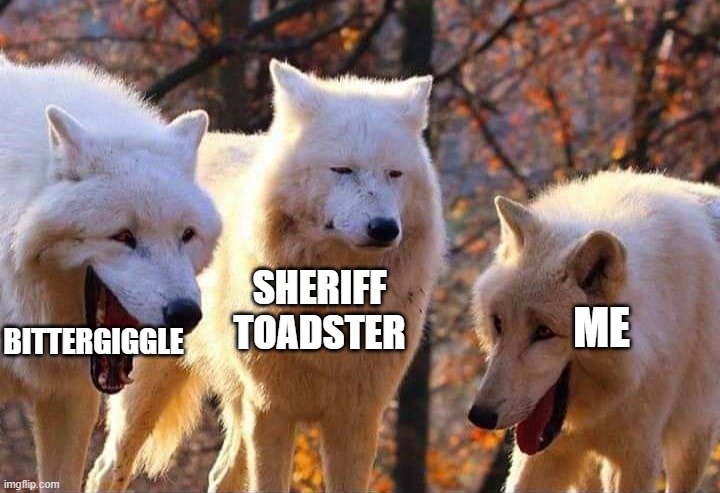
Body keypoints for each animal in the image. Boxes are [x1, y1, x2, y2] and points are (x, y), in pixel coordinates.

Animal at [86, 60, 445, 492]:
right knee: (107, 469)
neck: (334, 298)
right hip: (149, 388)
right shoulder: (271, 409)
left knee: (221, 475)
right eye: (342, 170)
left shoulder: (357, 417)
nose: (384, 228)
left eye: (395, 174)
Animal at [468, 170, 720, 492]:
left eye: (544, 332)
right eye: (499, 323)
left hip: (691, 442)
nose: (480, 415)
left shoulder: (637, 456)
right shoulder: (545, 453)